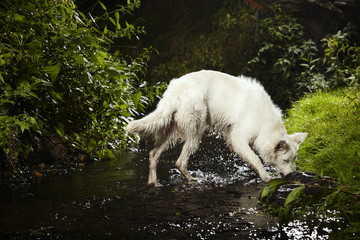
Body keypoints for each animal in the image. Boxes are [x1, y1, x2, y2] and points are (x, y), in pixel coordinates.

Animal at [126, 70, 306, 187]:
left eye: (294, 160)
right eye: (285, 160)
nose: (293, 175)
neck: (265, 125)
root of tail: (176, 90)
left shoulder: (237, 143)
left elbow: (250, 159)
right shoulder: (237, 139)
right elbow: (256, 158)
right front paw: (266, 177)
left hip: (171, 133)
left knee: (153, 153)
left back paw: (154, 182)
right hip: (195, 132)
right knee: (179, 162)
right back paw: (192, 180)